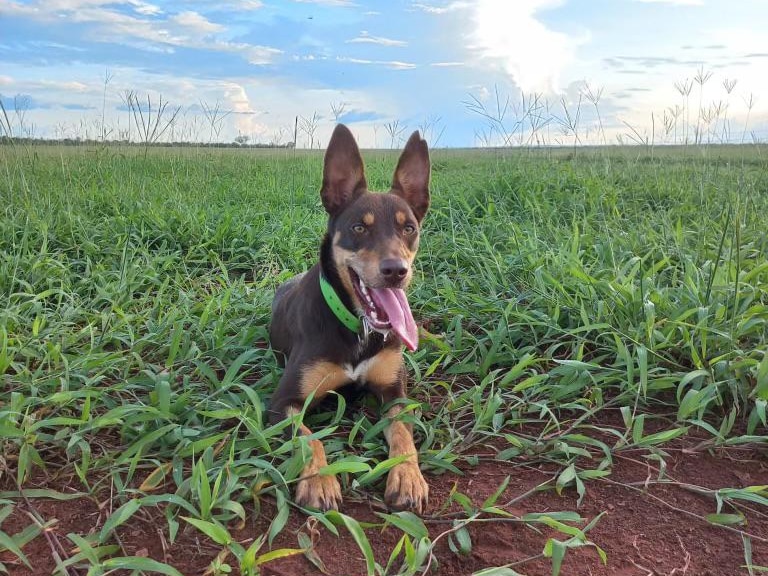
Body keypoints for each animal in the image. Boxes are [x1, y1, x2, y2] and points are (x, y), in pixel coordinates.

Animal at [268, 124, 428, 510]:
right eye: (358, 228)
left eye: (409, 228)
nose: (396, 271)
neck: (359, 329)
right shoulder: (282, 404)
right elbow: (309, 437)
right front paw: (319, 481)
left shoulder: (395, 393)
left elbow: (402, 433)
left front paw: (407, 476)